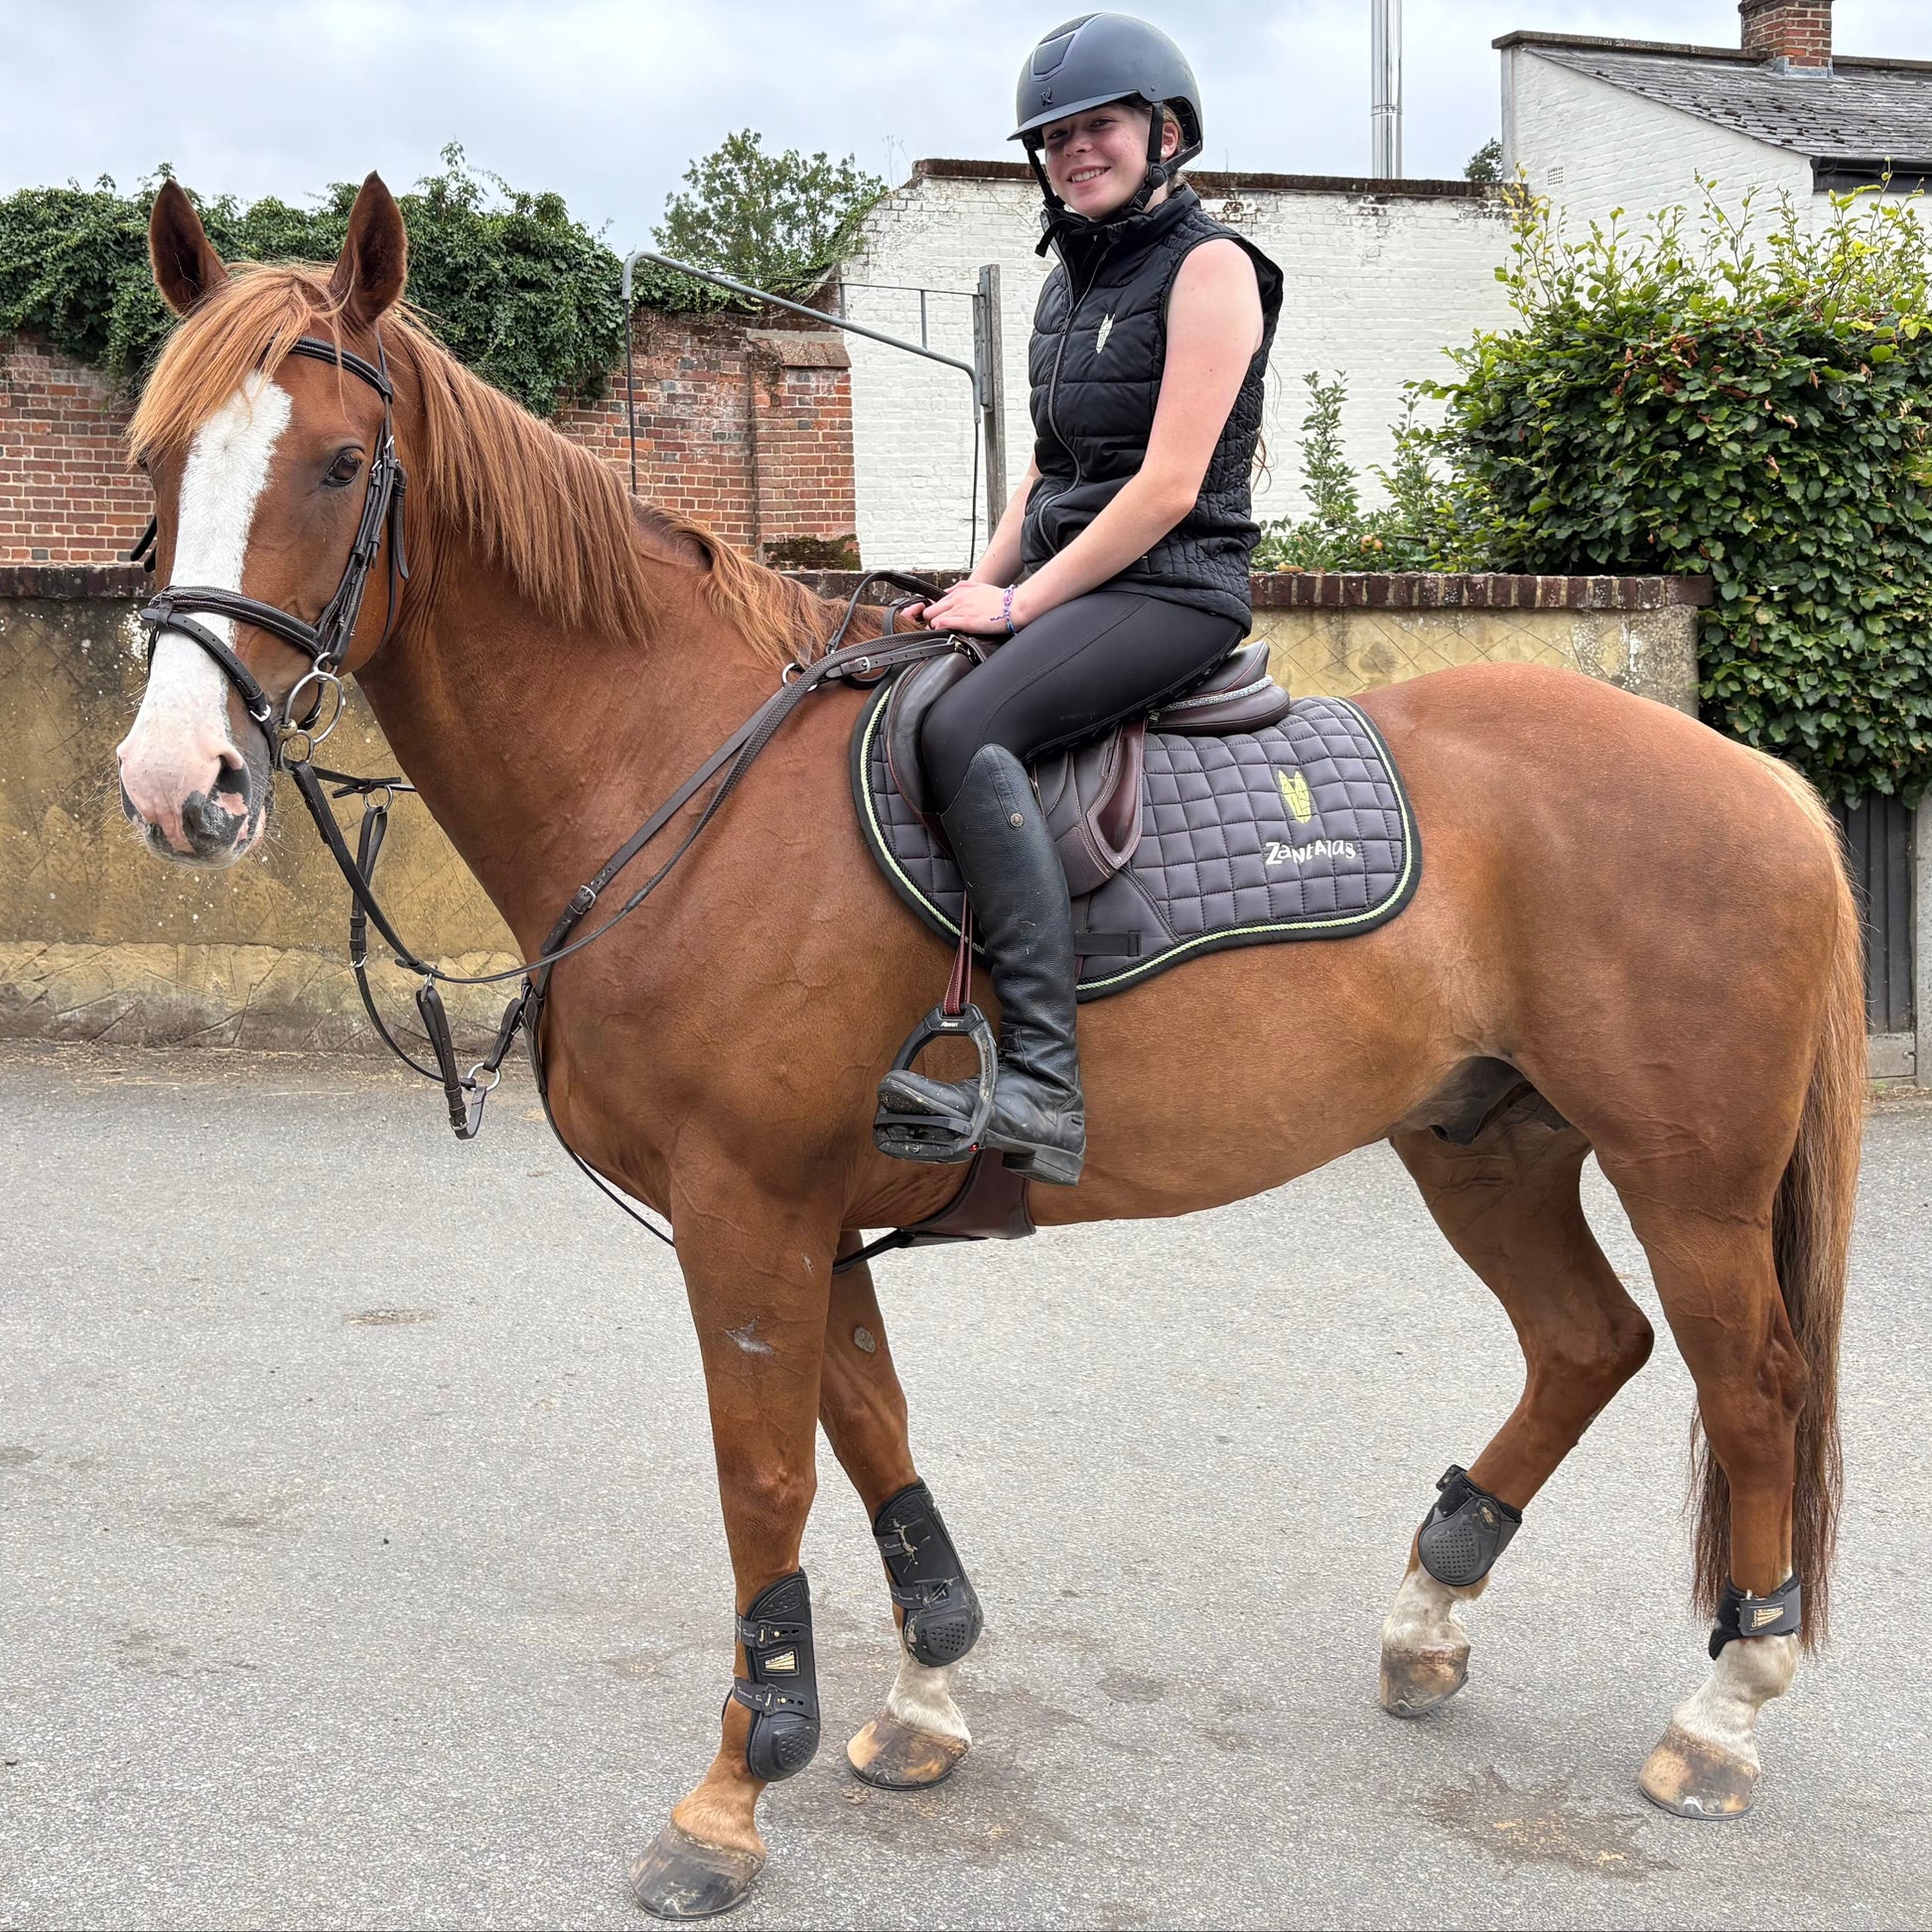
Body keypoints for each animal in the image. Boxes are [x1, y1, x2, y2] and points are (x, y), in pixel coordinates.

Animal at [115, 174, 1859, 1916]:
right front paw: (921, 1693)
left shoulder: (746, 1208)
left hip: (1686, 1178)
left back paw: (1724, 1707)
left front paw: (733, 1790)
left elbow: (766, 1477)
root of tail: (1751, 777)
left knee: (1751, 1385)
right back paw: (1432, 1612)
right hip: (1482, 1140)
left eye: (341, 465)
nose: (174, 782)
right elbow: (871, 1431)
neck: (684, 774)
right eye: (156, 462)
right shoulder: (811, 1219)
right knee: (1588, 1343)